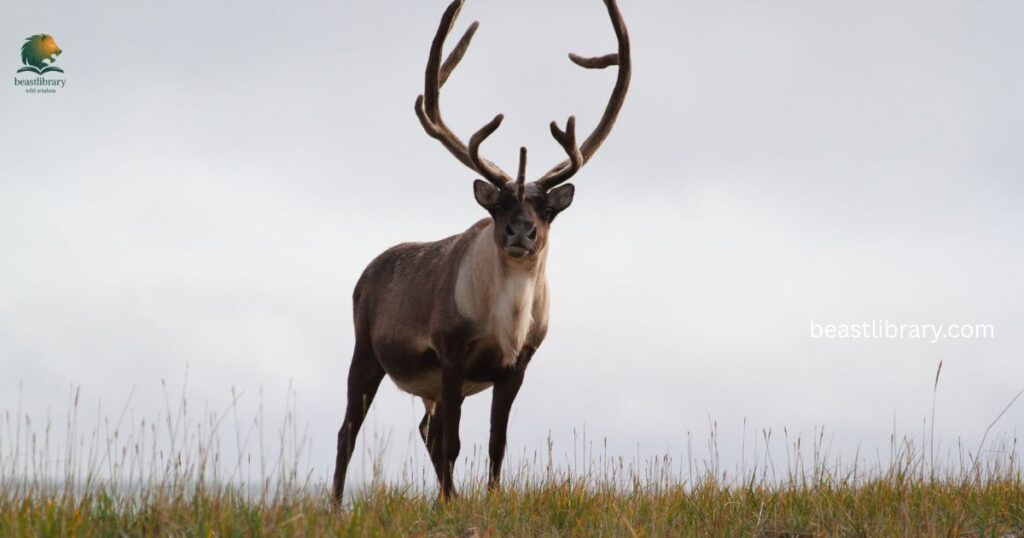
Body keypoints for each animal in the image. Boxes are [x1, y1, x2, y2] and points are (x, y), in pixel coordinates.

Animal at [332, 0, 631, 503]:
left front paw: (487, 499)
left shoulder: (516, 366)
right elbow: (453, 443)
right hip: (366, 352)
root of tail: (365, 273)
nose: (521, 233)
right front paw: (451, 505)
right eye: (500, 203)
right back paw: (336, 505)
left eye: (546, 209)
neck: (507, 320)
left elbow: (496, 443)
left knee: (425, 430)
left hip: (426, 384)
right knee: (349, 431)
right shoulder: (451, 353)